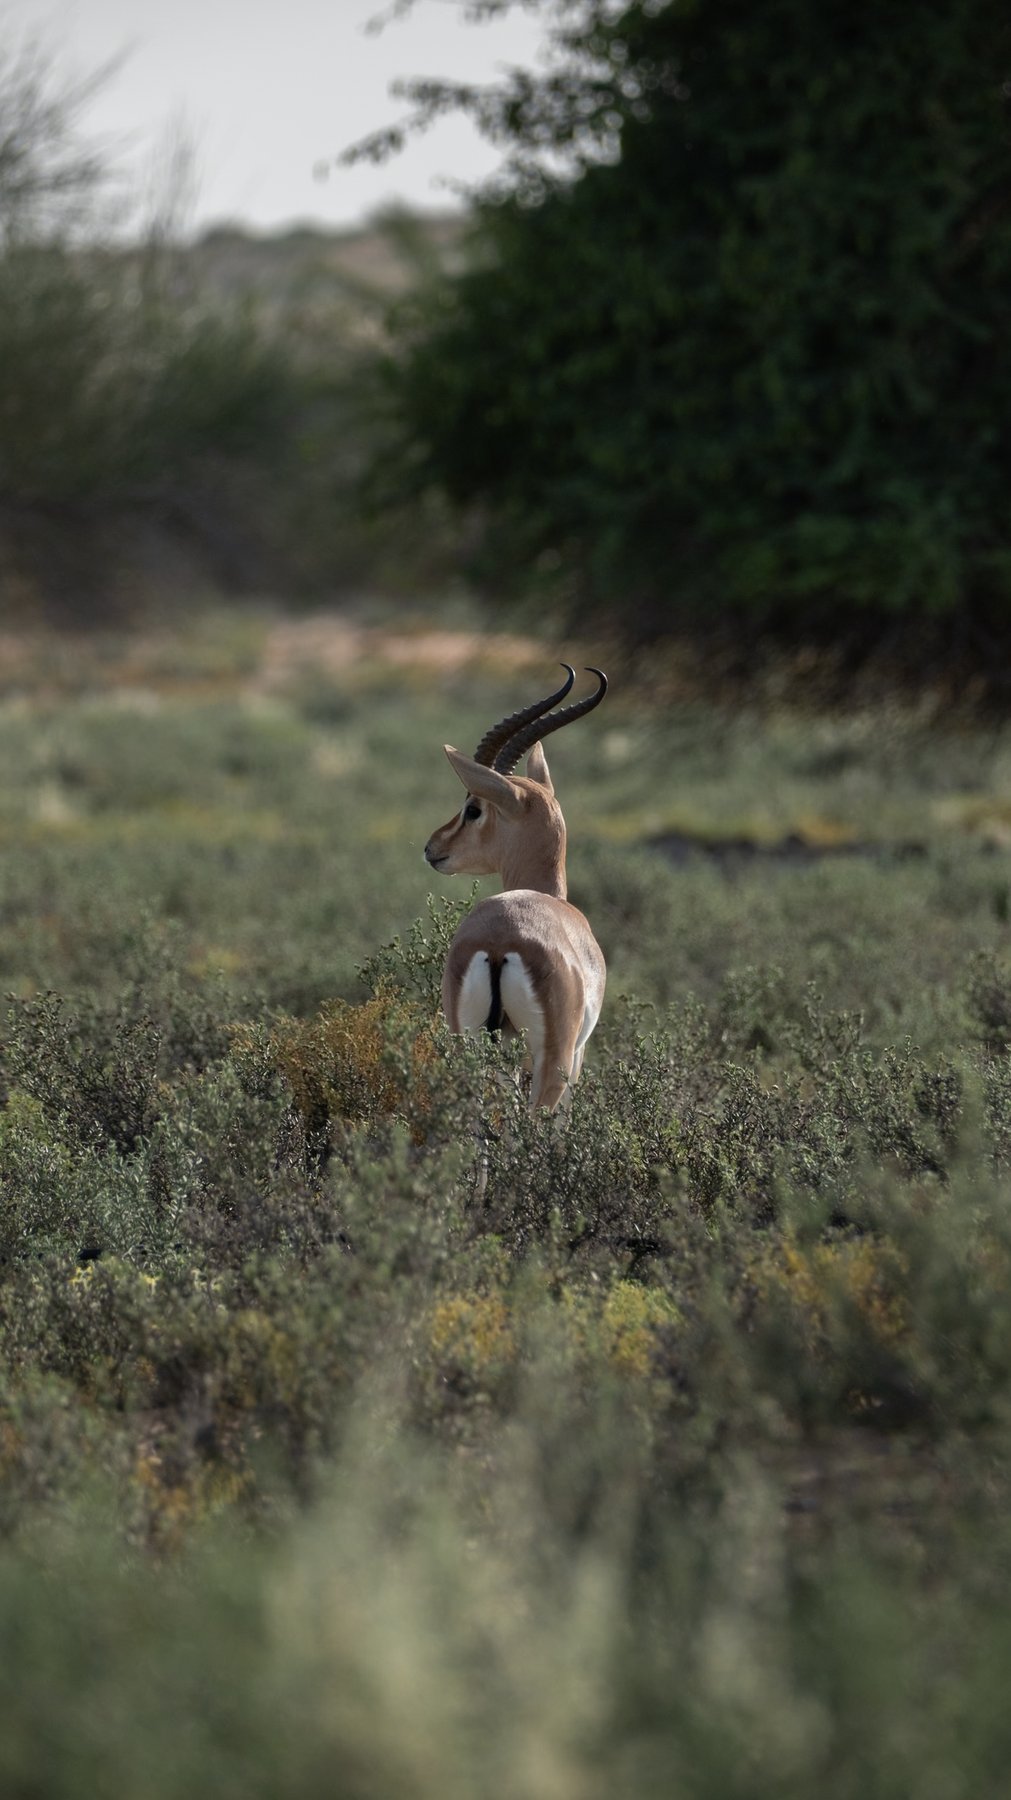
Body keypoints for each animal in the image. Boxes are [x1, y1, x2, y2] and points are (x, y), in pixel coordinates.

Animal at [424, 665, 608, 1110]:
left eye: (473, 808)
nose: (432, 847)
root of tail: (498, 943)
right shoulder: (577, 1056)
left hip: (470, 1050)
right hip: (552, 1061)